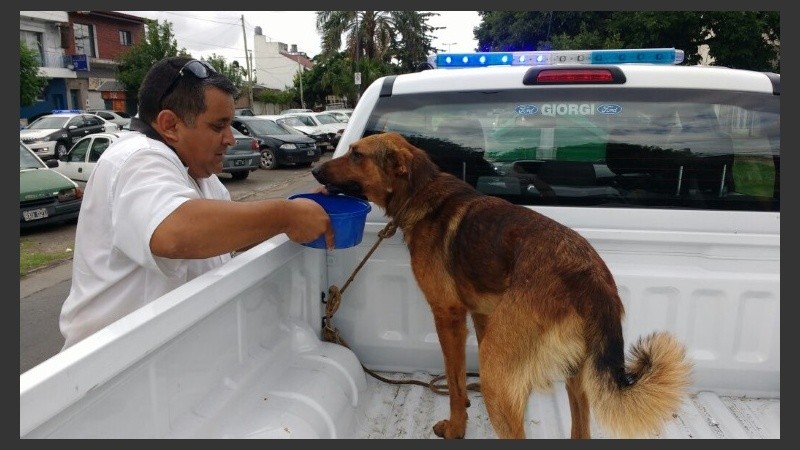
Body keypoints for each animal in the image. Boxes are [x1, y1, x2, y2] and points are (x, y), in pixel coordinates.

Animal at [310, 132, 692, 438]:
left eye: (356, 155)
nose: (314, 172)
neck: (422, 193)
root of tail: (591, 277)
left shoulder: (448, 316)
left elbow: (453, 378)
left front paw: (456, 427)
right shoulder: (481, 315)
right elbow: (462, 378)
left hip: (497, 369)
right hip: (574, 377)